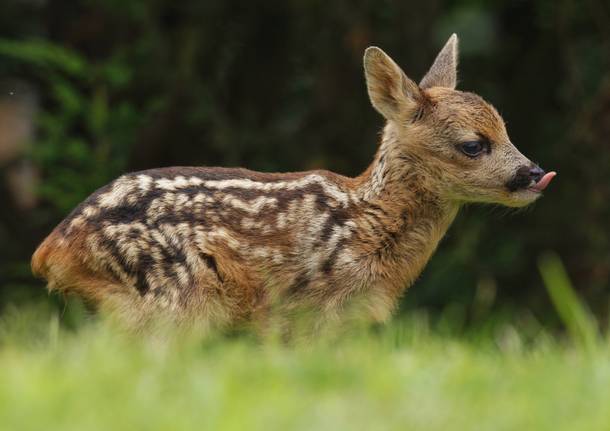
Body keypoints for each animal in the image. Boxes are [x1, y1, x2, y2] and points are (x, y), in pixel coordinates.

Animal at [32, 35, 552, 332]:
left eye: (506, 128)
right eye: (473, 145)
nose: (534, 174)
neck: (367, 222)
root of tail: (51, 249)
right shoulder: (309, 310)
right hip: (170, 295)